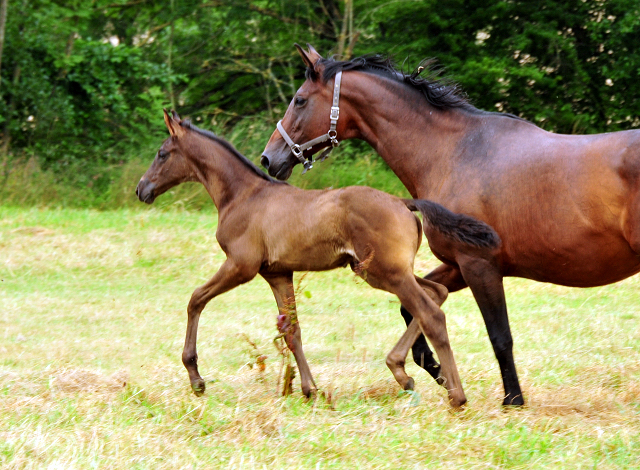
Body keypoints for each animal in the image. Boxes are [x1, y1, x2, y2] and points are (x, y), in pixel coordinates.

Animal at [138, 110, 502, 408]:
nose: (142, 190)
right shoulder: (278, 274)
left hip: (384, 272)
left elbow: (195, 299)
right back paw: (403, 372)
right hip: (386, 270)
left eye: (162, 153)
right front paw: (309, 389)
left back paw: (455, 395)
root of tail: (403, 202)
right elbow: (292, 331)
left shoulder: (241, 266)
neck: (242, 195)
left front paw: (196, 378)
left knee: (430, 313)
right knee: (436, 293)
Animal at [258, 43, 640, 408]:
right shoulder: (457, 264)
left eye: (300, 100)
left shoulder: (479, 264)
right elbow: (417, 307)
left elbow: (499, 335)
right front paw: (433, 370)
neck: (454, 152)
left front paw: (512, 399)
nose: (268, 159)